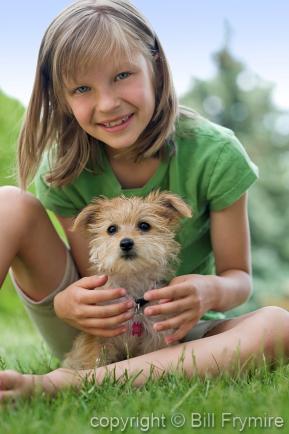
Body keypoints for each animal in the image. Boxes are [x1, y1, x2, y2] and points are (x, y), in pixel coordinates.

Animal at [62, 192, 191, 368]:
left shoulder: (157, 337)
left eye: (144, 226)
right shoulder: (97, 339)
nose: (126, 242)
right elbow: (95, 364)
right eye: (111, 229)